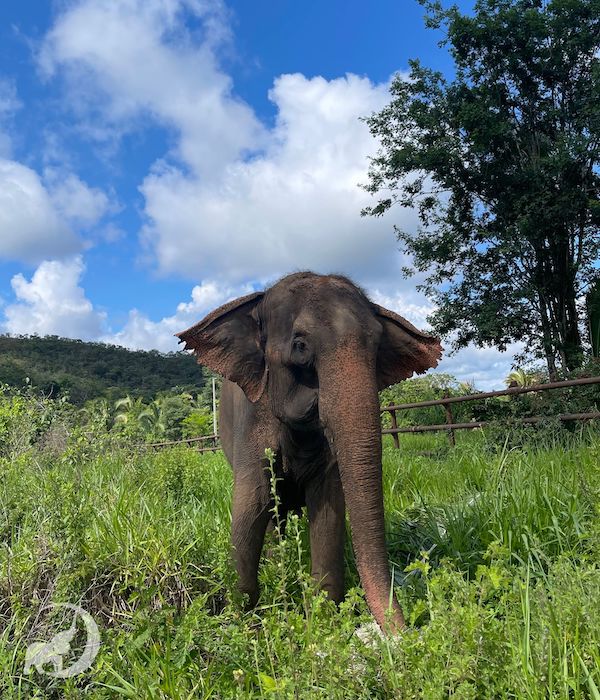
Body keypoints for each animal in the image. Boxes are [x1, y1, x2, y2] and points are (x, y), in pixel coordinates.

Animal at [177, 272, 442, 632]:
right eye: (300, 346)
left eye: (377, 347)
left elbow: (328, 506)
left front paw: (322, 618)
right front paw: (243, 622)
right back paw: (277, 561)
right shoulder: (253, 417)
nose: (404, 635)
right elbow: (252, 502)